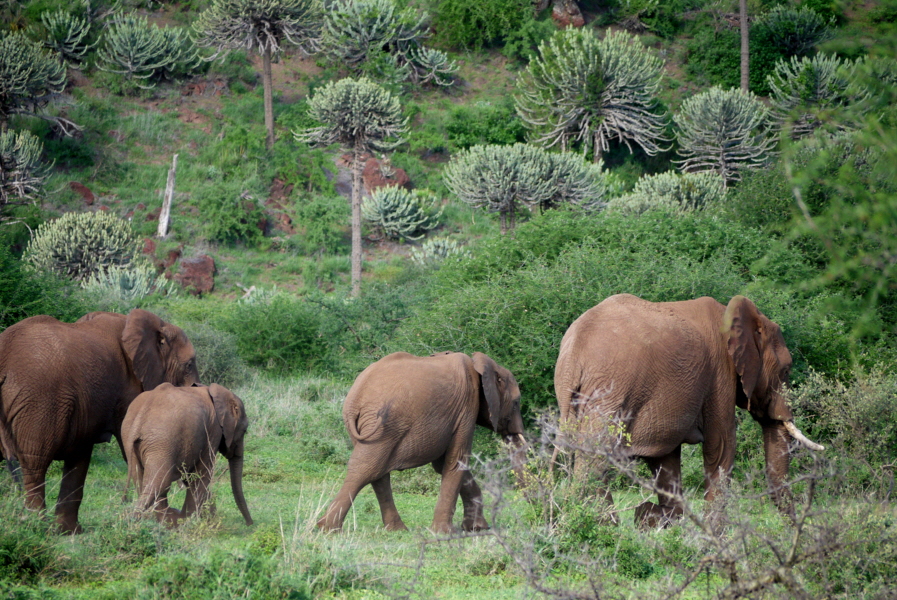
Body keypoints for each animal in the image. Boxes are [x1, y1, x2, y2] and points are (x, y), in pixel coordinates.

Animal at [0, 312, 198, 532]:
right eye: (189, 364)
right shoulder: (127, 390)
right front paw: (164, 523)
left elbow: (80, 455)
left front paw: (69, 532)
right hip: (40, 402)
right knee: (35, 463)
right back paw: (37, 526)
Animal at [121, 384, 254, 524]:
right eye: (244, 430)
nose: (250, 524)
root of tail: (140, 417)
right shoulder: (213, 432)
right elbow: (201, 474)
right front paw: (189, 521)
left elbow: (191, 477)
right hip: (162, 442)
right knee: (160, 483)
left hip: (131, 439)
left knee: (142, 480)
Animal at [316, 352, 524, 536]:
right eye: (516, 402)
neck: (480, 364)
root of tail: (355, 400)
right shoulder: (467, 406)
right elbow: (456, 461)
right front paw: (444, 533)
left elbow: (442, 464)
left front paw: (476, 528)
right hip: (386, 426)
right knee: (367, 469)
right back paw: (328, 529)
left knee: (376, 472)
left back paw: (395, 530)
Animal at [552, 292, 824, 528]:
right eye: (786, 370)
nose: (791, 530)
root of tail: (574, 354)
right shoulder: (720, 375)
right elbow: (721, 446)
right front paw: (714, 535)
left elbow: (666, 460)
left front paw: (661, 521)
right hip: (610, 391)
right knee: (595, 457)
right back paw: (603, 526)